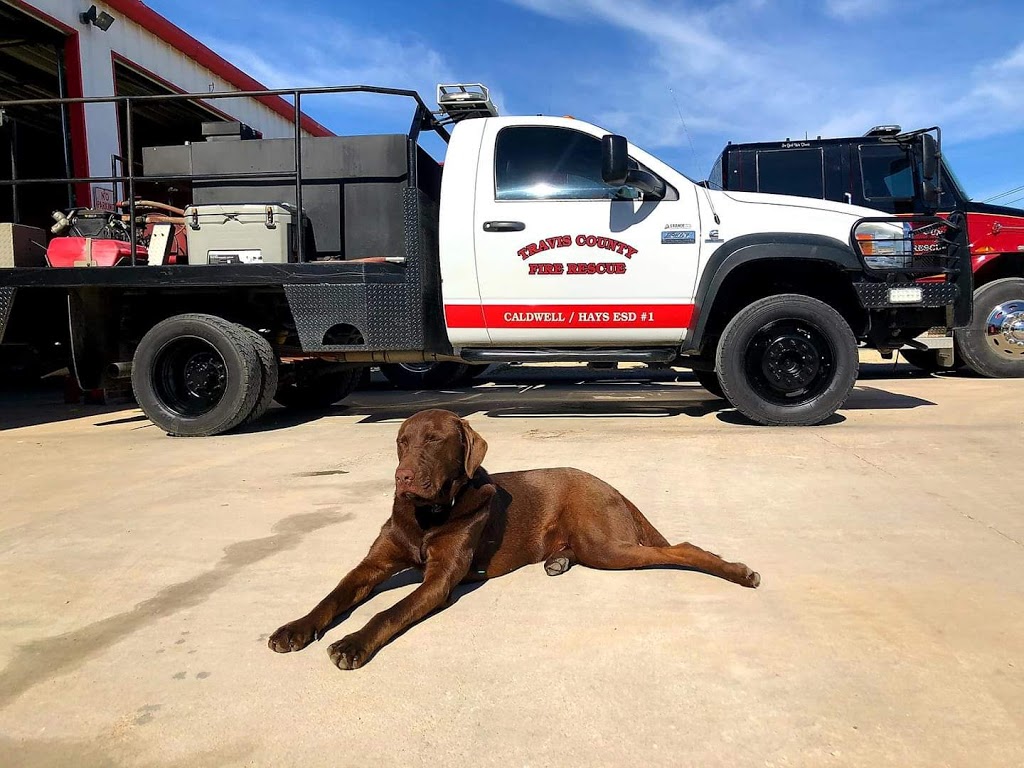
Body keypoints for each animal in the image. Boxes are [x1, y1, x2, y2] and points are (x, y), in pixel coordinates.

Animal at [272, 409, 761, 667]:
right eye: (401, 441)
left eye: (434, 440)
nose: (402, 477)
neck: (428, 515)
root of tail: (608, 484)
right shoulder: (372, 564)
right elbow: (332, 596)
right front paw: (294, 628)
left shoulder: (440, 579)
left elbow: (388, 612)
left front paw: (353, 643)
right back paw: (557, 560)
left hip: (606, 546)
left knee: (680, 549)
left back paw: (739, 572)